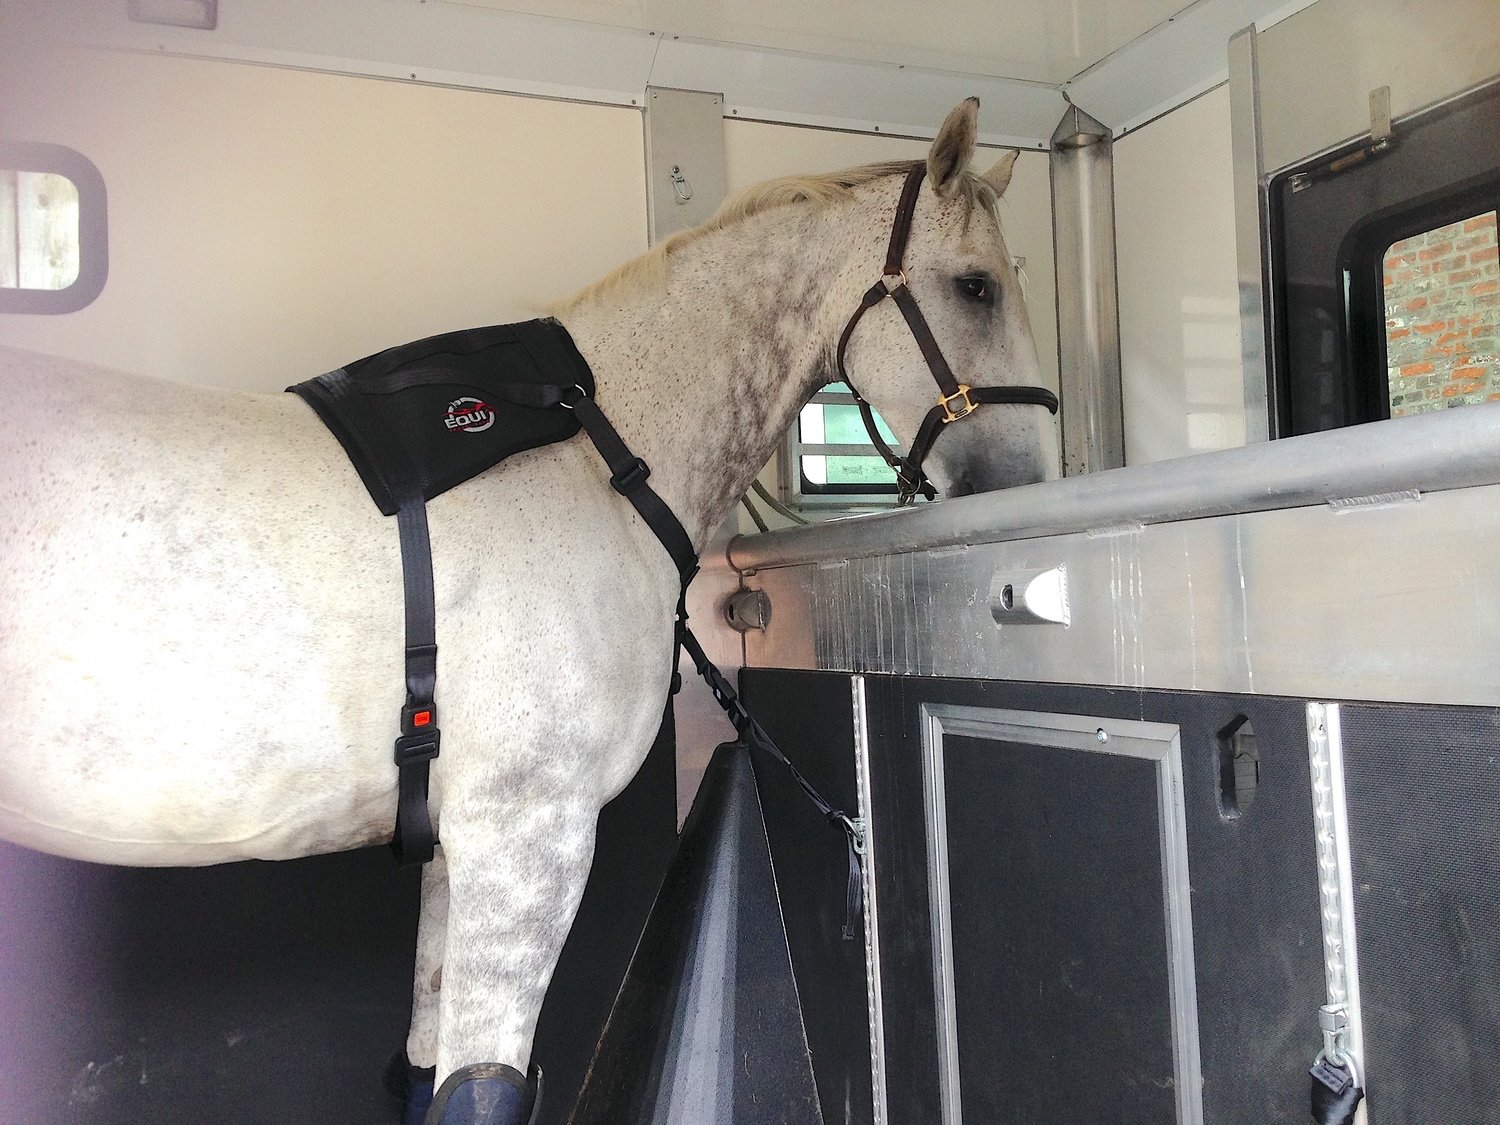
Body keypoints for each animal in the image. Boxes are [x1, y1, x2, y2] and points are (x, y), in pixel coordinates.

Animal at [0, 97, 1058, 1124]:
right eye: (975, 287)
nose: (1029, 480)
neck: (600, 455)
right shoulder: (527, 840)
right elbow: (482, 1090)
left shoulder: (455, 847)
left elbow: (425, 1073)